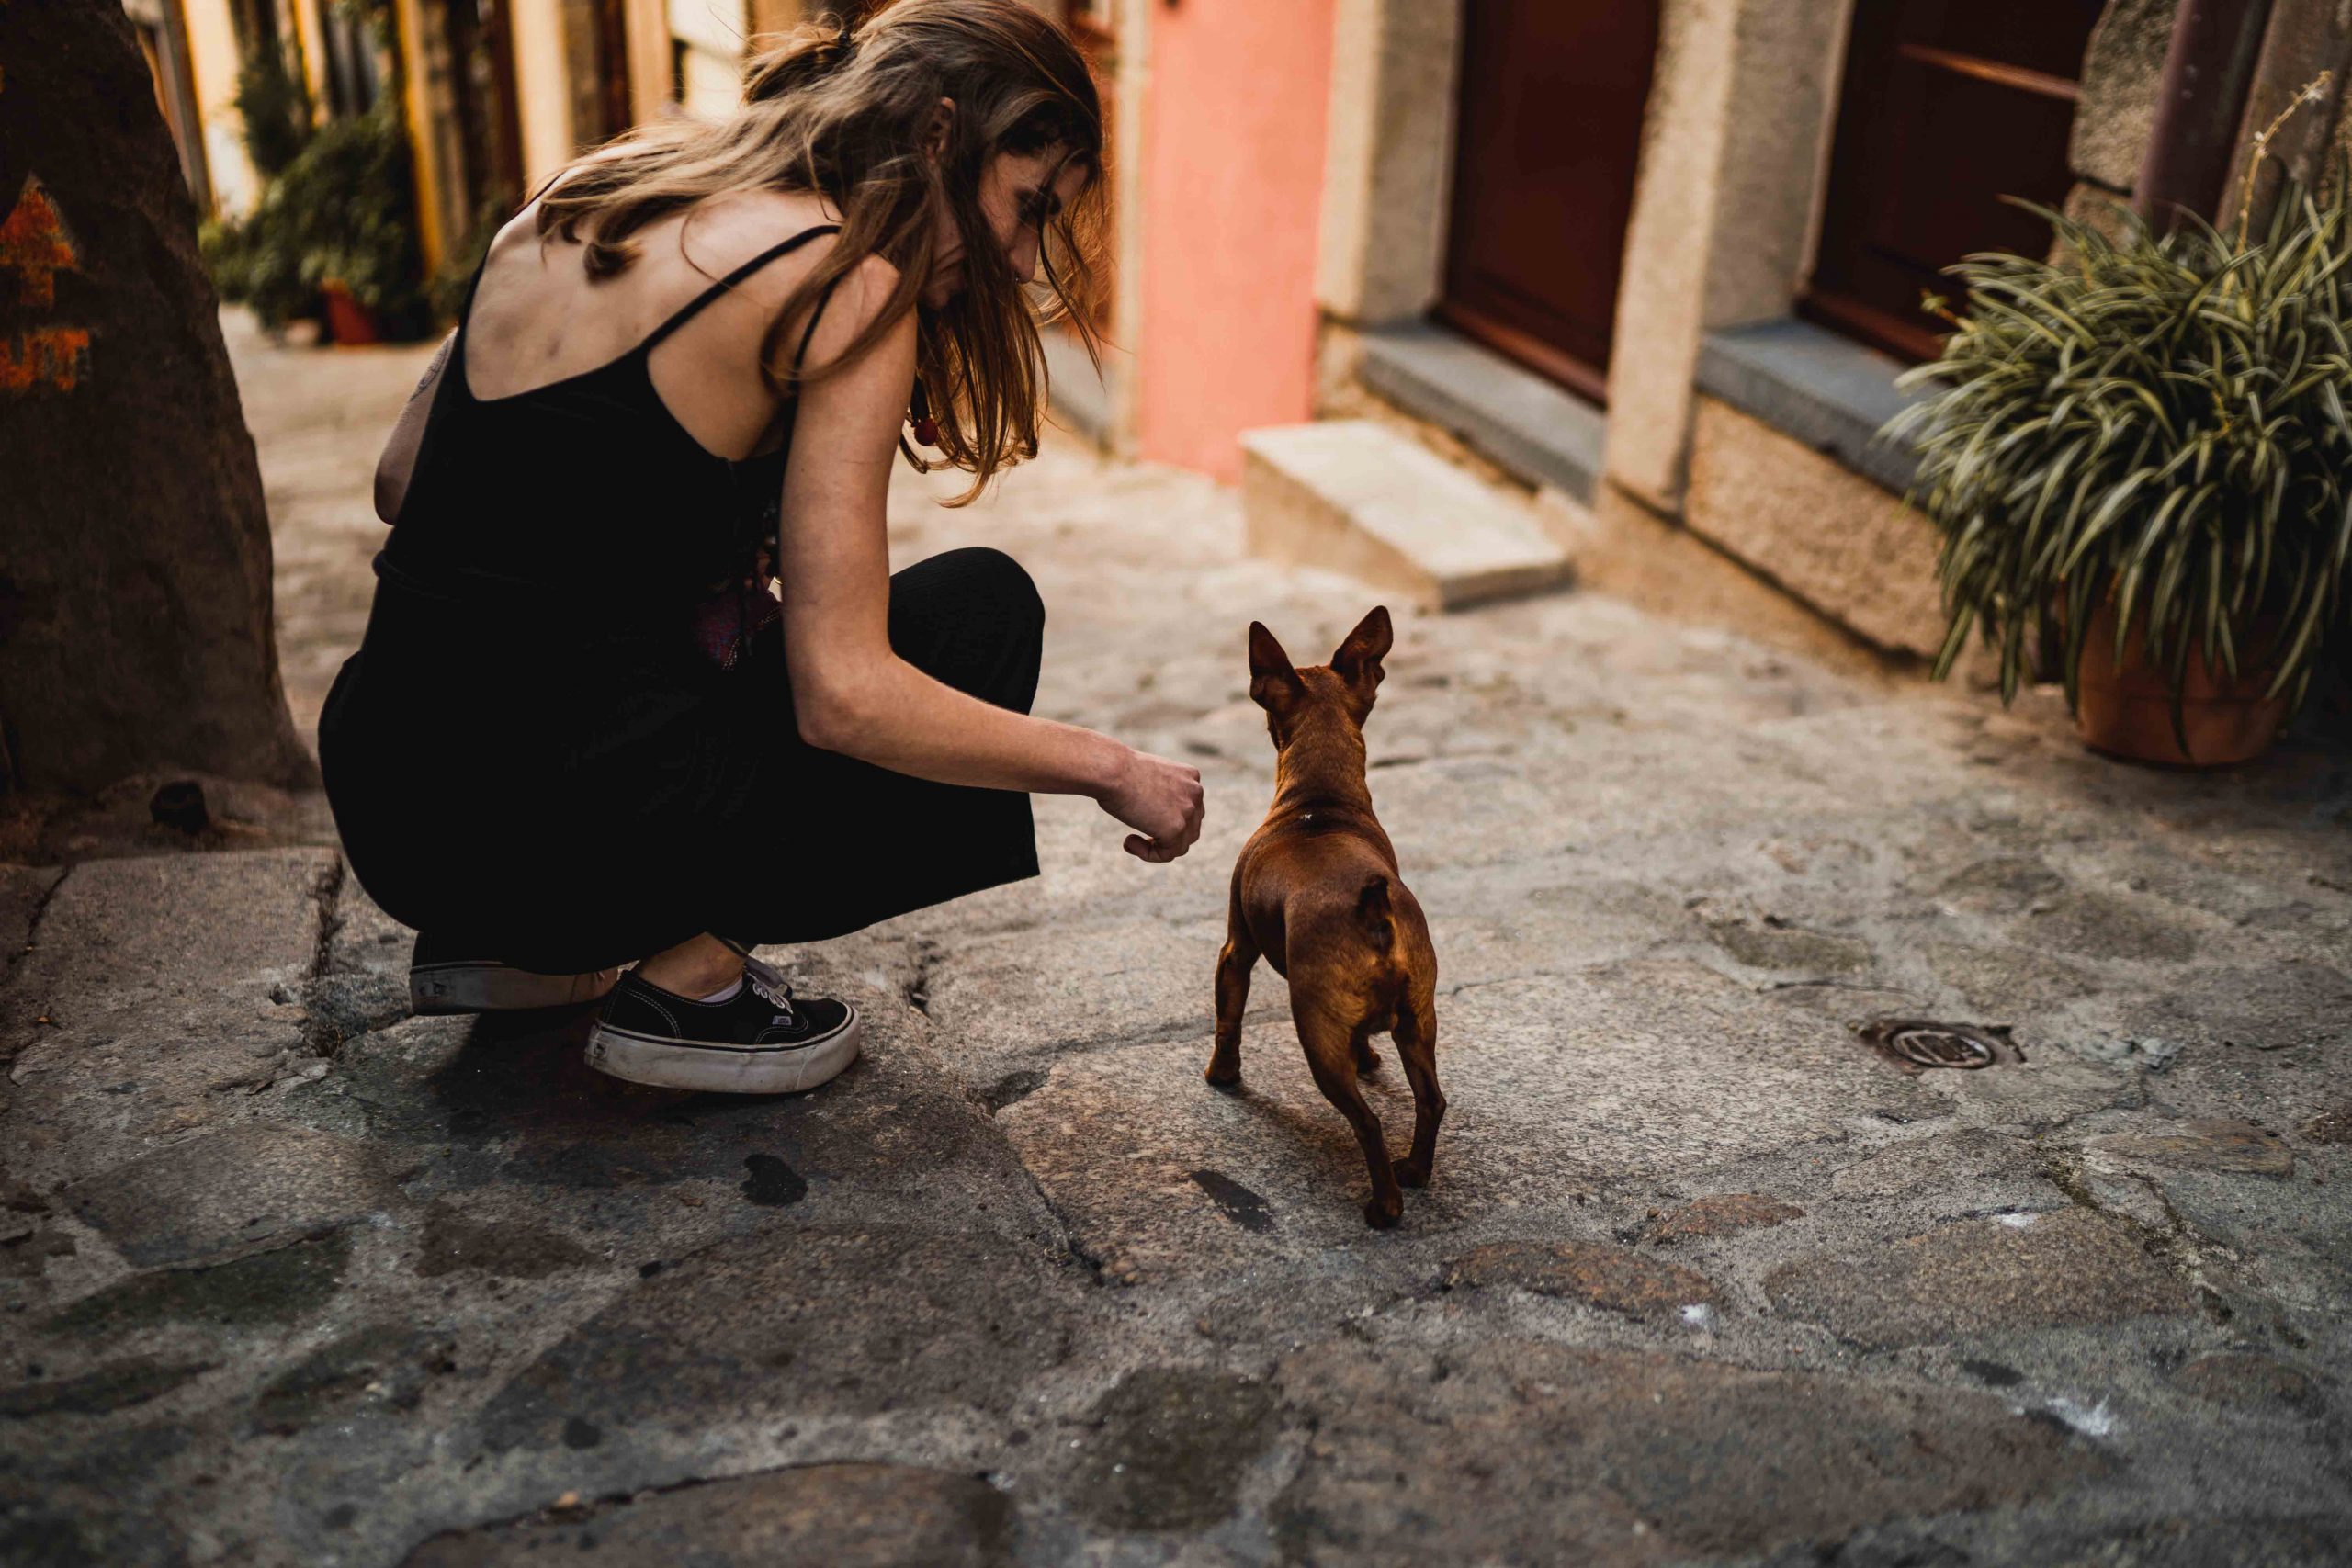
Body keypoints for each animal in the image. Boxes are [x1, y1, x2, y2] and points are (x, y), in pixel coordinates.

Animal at [1209, 606, 1443, 1228]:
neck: (1318, 802)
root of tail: (1375, 915)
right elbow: (1366, 1042)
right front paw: (1369, 1057)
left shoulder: (1235, 951)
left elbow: (1227, 1020)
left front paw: (1222, 1077)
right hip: (1420, 1021)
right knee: (1432, 1100)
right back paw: (1416, 1171)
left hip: (1316, 1036)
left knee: (1368, 1122)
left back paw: (1386, 1205)